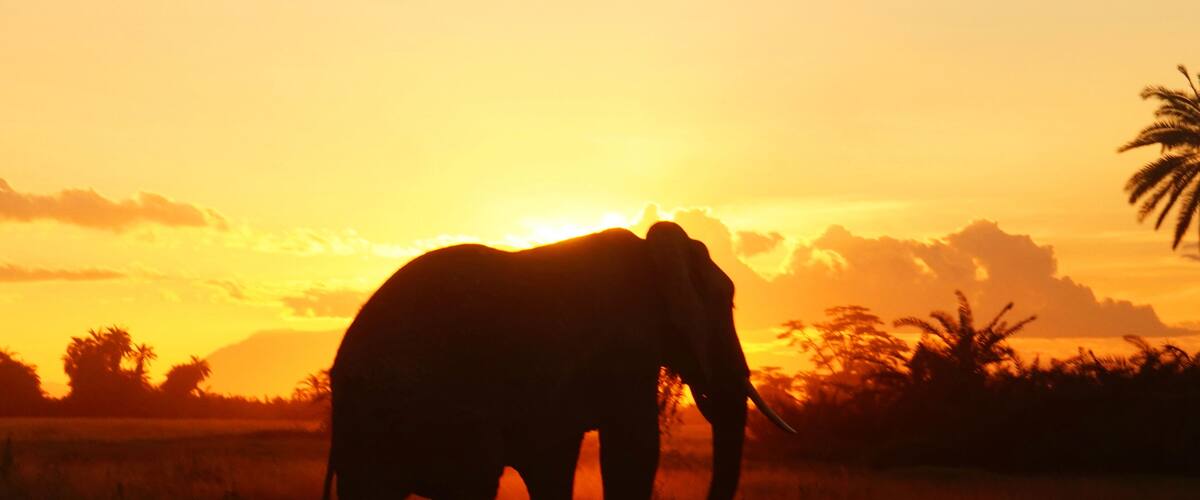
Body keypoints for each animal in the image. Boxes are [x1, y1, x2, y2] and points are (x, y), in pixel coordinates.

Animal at [322, 221, 794, 500]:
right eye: (726, 302)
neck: (651, 251)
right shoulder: (624, 348)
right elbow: (635, 449)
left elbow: (554, 461)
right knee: (475, 477)